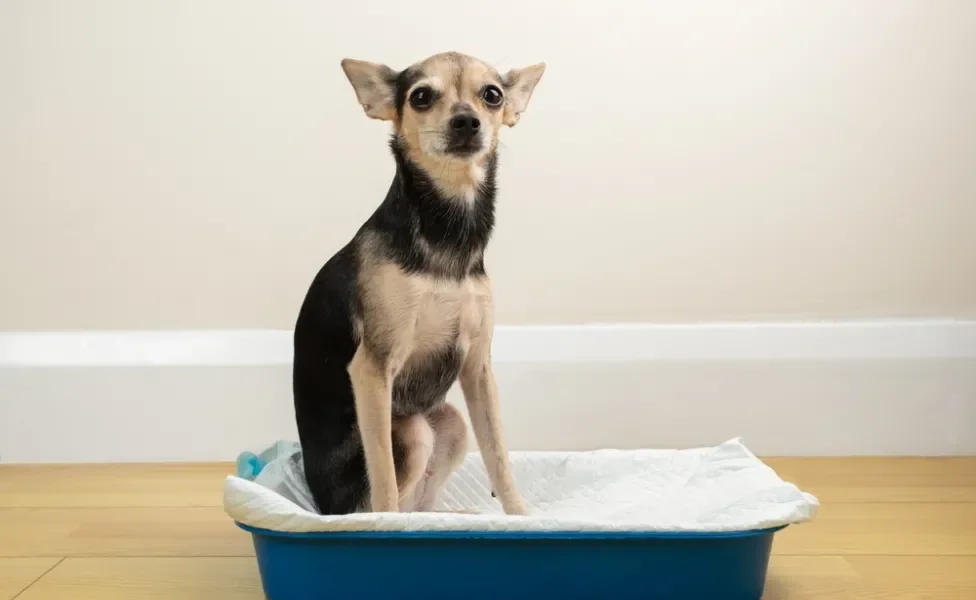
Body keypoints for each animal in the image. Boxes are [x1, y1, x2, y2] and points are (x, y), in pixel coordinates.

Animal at [294, 52, 544, 516]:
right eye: (421, 97)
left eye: (492, 95)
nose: (466, 121)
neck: (449, 230)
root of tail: (323, 507)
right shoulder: (372, 370)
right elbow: (384, 477)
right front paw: (385, 526)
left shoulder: (478, 370)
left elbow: (498, 455)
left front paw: (520, 516)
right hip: (410, 431)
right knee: (385, 498)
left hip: (452, 422)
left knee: (424, 504)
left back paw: (452, 517)